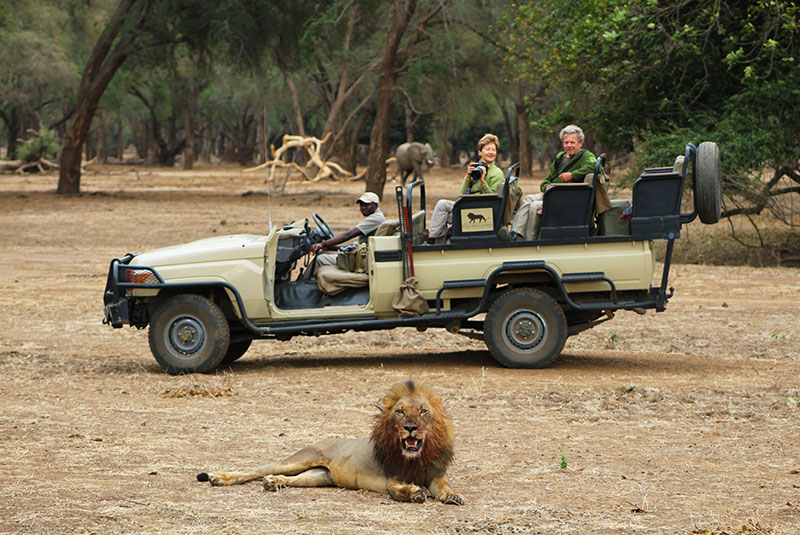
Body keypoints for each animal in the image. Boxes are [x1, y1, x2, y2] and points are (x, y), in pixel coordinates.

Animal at [196, 382, 466, 506]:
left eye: (423, 411)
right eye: (400, 412)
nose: (411, 427)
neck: (416, 458)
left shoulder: (435, 475)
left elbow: (444, 487)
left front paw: (453, 495)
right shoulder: (392, 478)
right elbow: (398, 490)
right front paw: (415, 493)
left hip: (318, 476)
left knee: (292, 479)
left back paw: (274, 483)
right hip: (300, 458)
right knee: (256, 470)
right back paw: (219, 477)